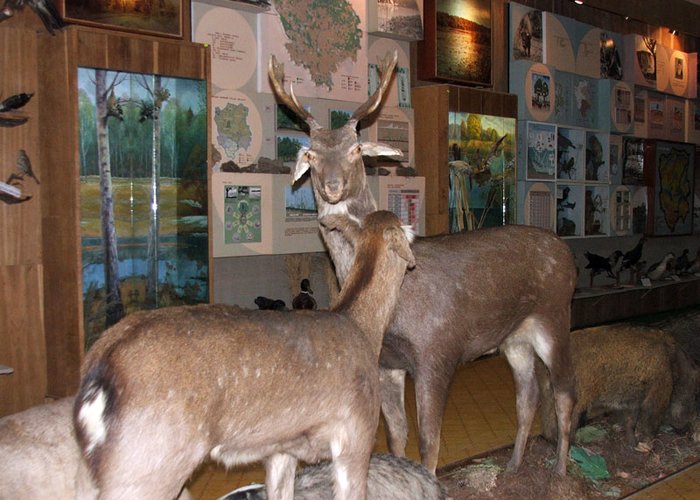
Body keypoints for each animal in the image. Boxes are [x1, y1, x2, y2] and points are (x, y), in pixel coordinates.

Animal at [73, 211, 416, 500]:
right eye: (405, 229)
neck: (364, 329)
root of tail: (98, 369)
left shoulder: (282, 447)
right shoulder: (357, 434)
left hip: (92, 469)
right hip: (147, 464)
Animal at [268, 50, 580, 476]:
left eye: (355, 149)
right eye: (311, 153)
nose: (332, 186)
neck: (395, 304)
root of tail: (568, 255)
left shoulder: (438, 352)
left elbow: (429, 445)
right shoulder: (387, 364)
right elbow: (397, 438)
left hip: (555, 316)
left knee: (566, 391)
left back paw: (561, 472)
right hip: (513, 337)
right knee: (528, 395)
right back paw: (513, 467)